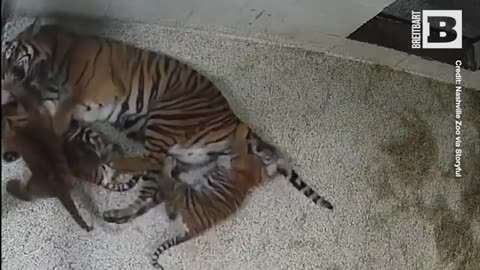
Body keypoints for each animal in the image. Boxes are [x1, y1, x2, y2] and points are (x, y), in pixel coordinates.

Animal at [1, 18, 334, 209]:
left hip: (164, 115)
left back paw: (115, 161)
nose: (8, 76)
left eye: (10, 54)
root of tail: (233, 117)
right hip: (171, 142)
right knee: (161, 164)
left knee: (150, 159)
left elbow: (64, 110)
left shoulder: (92, 89)